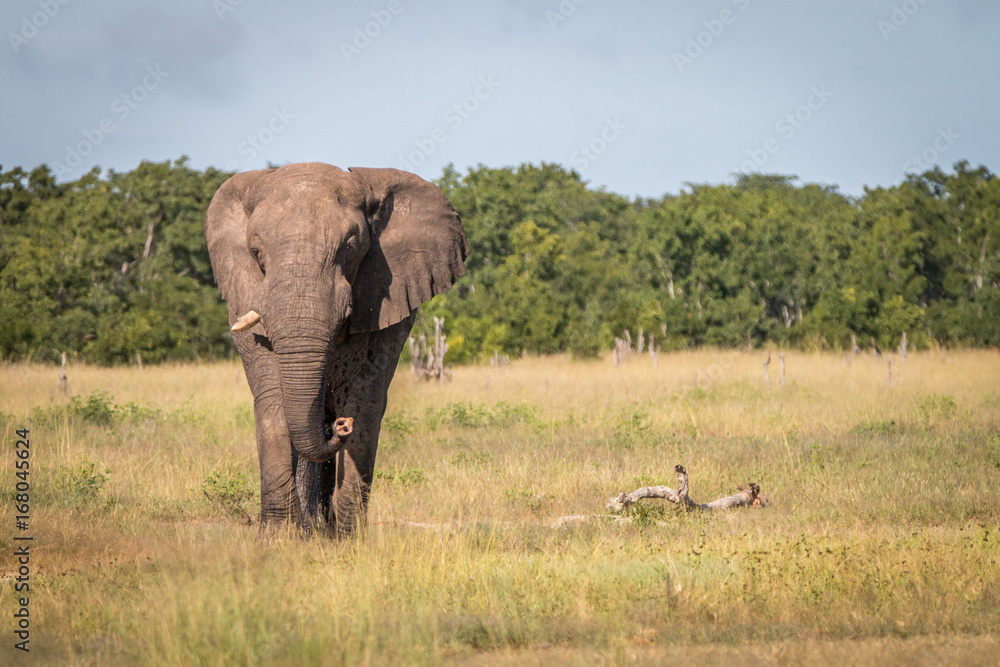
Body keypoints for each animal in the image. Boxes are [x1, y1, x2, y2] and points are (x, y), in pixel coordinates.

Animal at [205, 162, 467, 535]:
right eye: (256, 253)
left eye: (351, 246)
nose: (342, 426)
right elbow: (273, 401)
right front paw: (278, 539)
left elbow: (366, 401)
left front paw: (347, 540)